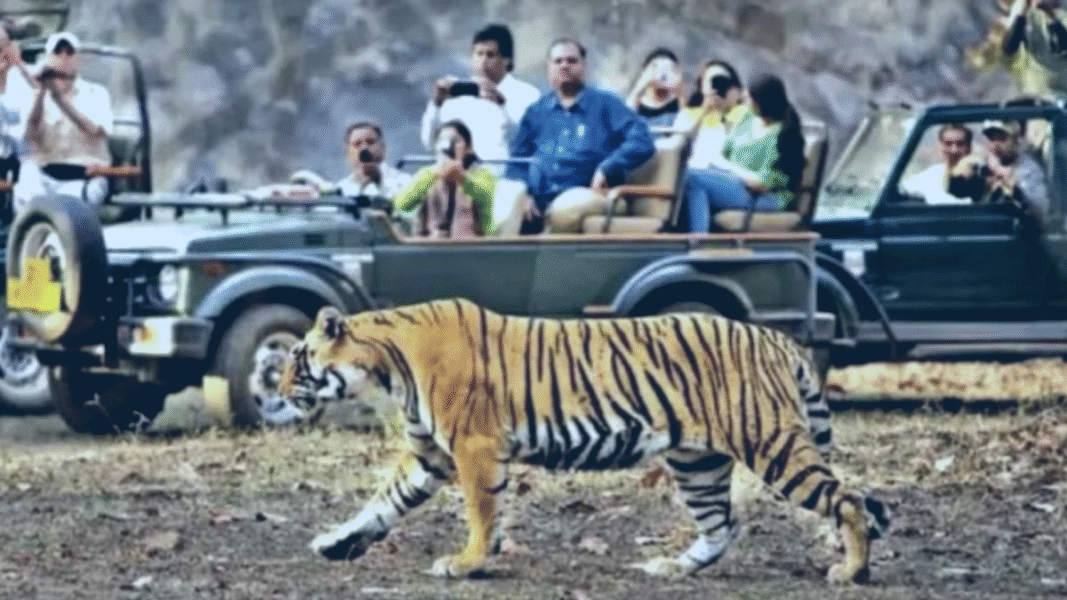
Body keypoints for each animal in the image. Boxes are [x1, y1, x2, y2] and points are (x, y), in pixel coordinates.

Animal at [278, 298, 889, 583]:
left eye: (298, 359)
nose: (277, 390)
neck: (387, 363)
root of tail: (776, 338)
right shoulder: (431, 455)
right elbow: (383, 502)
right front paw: (335, 541)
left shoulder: (474, 446)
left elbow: (480, 511)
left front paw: (468, 562)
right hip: (698, 461)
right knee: (723, 524)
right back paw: (671, 568)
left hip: (769, 442)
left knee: (847, 499)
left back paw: (852, 572)